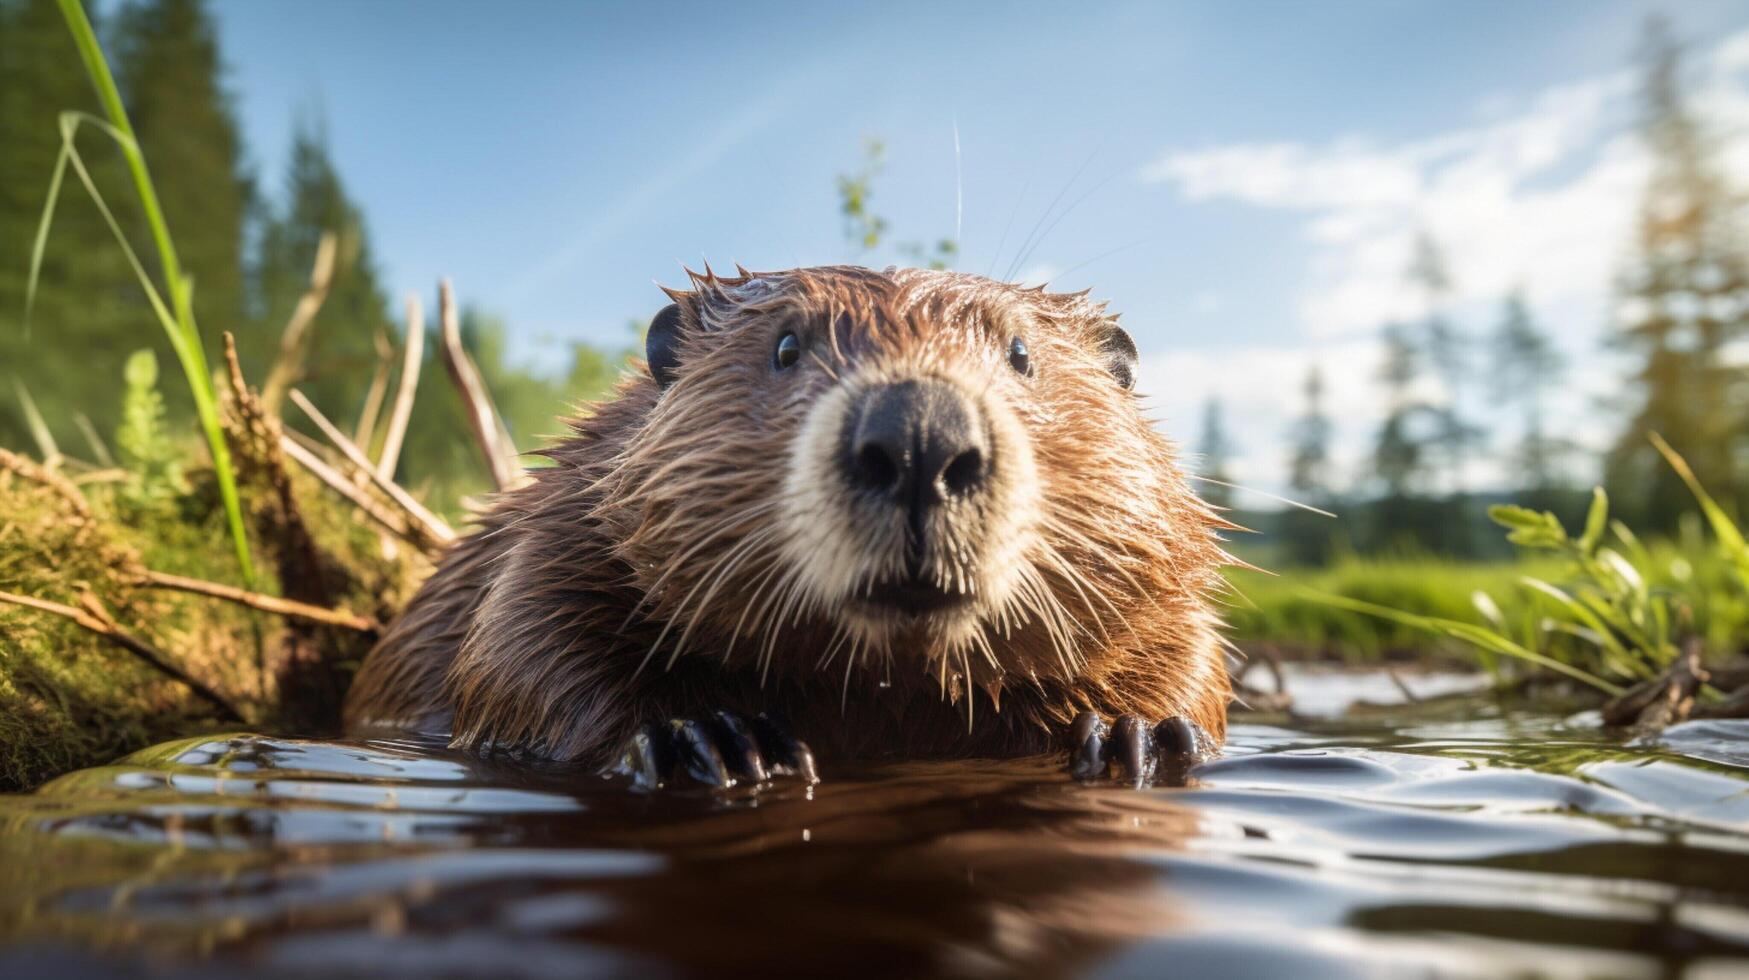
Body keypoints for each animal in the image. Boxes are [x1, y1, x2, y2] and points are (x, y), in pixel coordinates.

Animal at [341, 266, 1231, 787]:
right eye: (785, 345)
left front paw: (1135, 735)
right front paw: (710, 740)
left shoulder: (1165, 576)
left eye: (1019, 353)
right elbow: (516, 645)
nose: (918, 435)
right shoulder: (568, 518)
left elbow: (1194, 654)